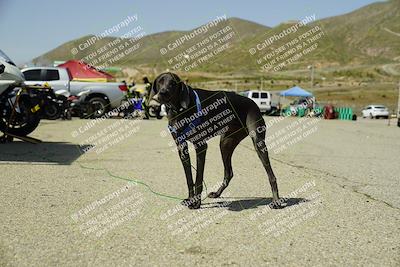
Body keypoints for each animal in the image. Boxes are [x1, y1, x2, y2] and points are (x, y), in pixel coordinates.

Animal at [152, 73, 280, 209]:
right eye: (160, 82)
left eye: (173, 83)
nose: (162, 93)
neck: (179, 110)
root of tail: (253, 102)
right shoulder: (181, 147)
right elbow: (189, 179)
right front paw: (190, 199)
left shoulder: (201, 145)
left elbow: (198, 178)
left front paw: (196, 202)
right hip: (225, 144)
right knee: (229, 173)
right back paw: (218, 193)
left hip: (258, 142)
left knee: (271, 176)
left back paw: (276, 201)